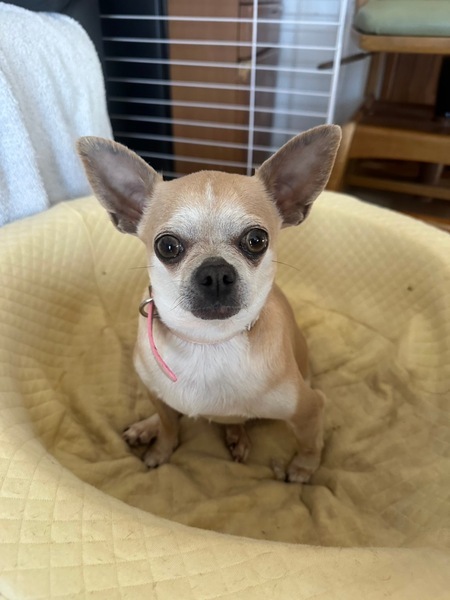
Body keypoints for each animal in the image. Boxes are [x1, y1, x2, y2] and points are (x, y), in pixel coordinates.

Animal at [77, 124, 341, 483]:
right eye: (167, 246)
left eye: (257, 240)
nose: (215, 272)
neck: (208, 342)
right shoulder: (156, 394)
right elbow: (168, 425)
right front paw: (161, 448)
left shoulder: (309, 406)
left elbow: (311, 442)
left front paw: (302, 469)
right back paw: (147, 428)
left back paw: (237, 437)